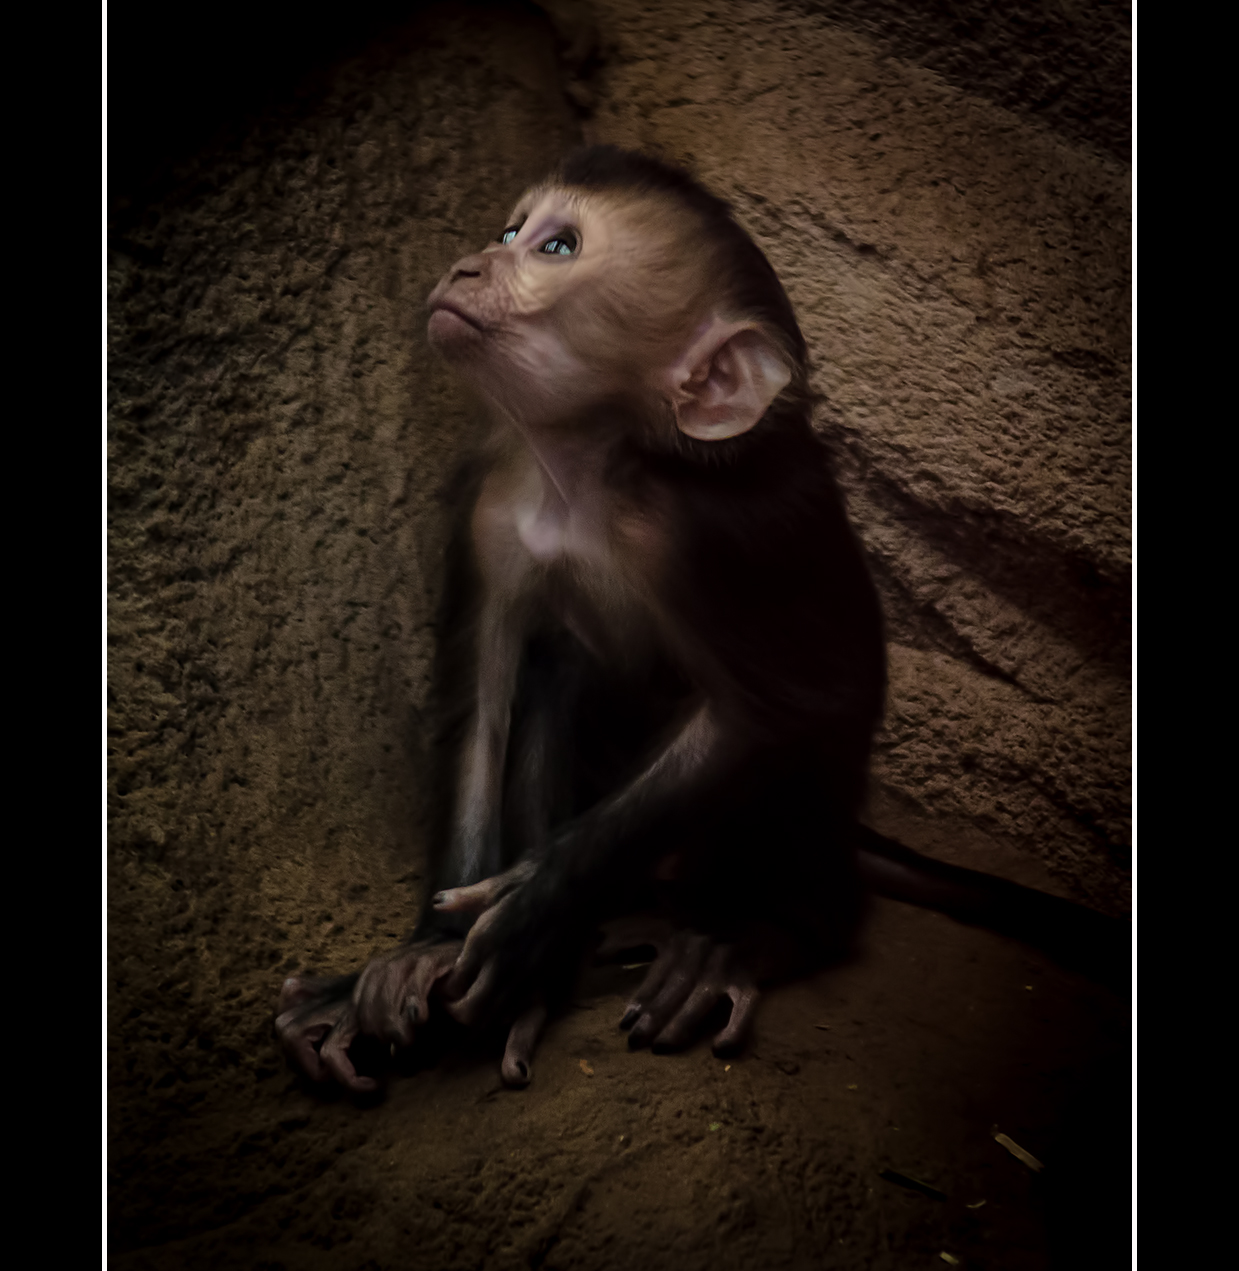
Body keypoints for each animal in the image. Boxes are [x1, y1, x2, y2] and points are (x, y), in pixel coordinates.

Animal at [276, 147, 1125, 1094]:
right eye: (510, 229)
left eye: (557, 247)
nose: (470, 265)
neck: (593, 474)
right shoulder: (494, 505)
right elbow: (484, 704)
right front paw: (423, 949)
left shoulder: (720, 535)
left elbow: (775, 710)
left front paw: (535, 902)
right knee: (558, 670)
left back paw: (752, 937)